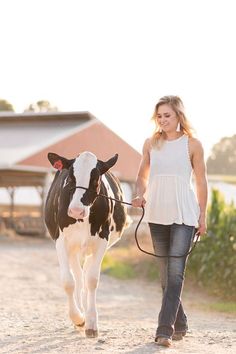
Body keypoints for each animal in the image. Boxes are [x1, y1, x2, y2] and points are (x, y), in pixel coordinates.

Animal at [45, 150, 130, 338]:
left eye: (96, 180)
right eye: (70, 178)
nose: (76, 210)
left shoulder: (102, 240)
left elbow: (92, 279)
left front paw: (91, 323)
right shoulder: (61, 241)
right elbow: (68, 281)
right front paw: (78, 319)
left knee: (86, 273)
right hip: (73, 249)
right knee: (77, 276)